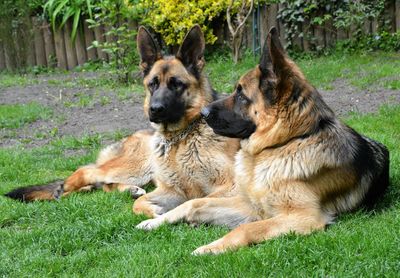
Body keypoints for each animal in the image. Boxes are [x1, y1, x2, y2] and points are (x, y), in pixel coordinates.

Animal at [5, 26, 238, 217]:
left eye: (177, 84)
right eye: (152, 84)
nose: (155, 110)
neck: (182, 136)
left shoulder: (226, 185)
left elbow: (200, 199)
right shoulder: (172, 188)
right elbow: (140, 205)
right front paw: (154, 211)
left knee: (103, 183)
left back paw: (127, 189)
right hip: (135, 167)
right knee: (87, 171)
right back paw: (65, 188)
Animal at [136, 27, 390, 254]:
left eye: (241, 94)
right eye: (152, 84)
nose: (204, 112)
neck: (284, 144)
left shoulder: (304, 217)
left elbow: (245, 229)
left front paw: (211, 247)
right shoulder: (248, 204)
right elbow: (194, 203)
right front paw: (156, 220)